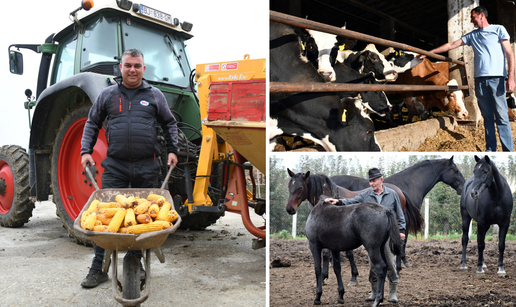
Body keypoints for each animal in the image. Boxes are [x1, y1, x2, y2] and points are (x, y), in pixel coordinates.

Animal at [332, 158, 466, 266]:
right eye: (455, 170)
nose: (463, 186)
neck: (409, 184)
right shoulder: (404, 219)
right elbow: (404, 239)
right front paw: (404, 260)